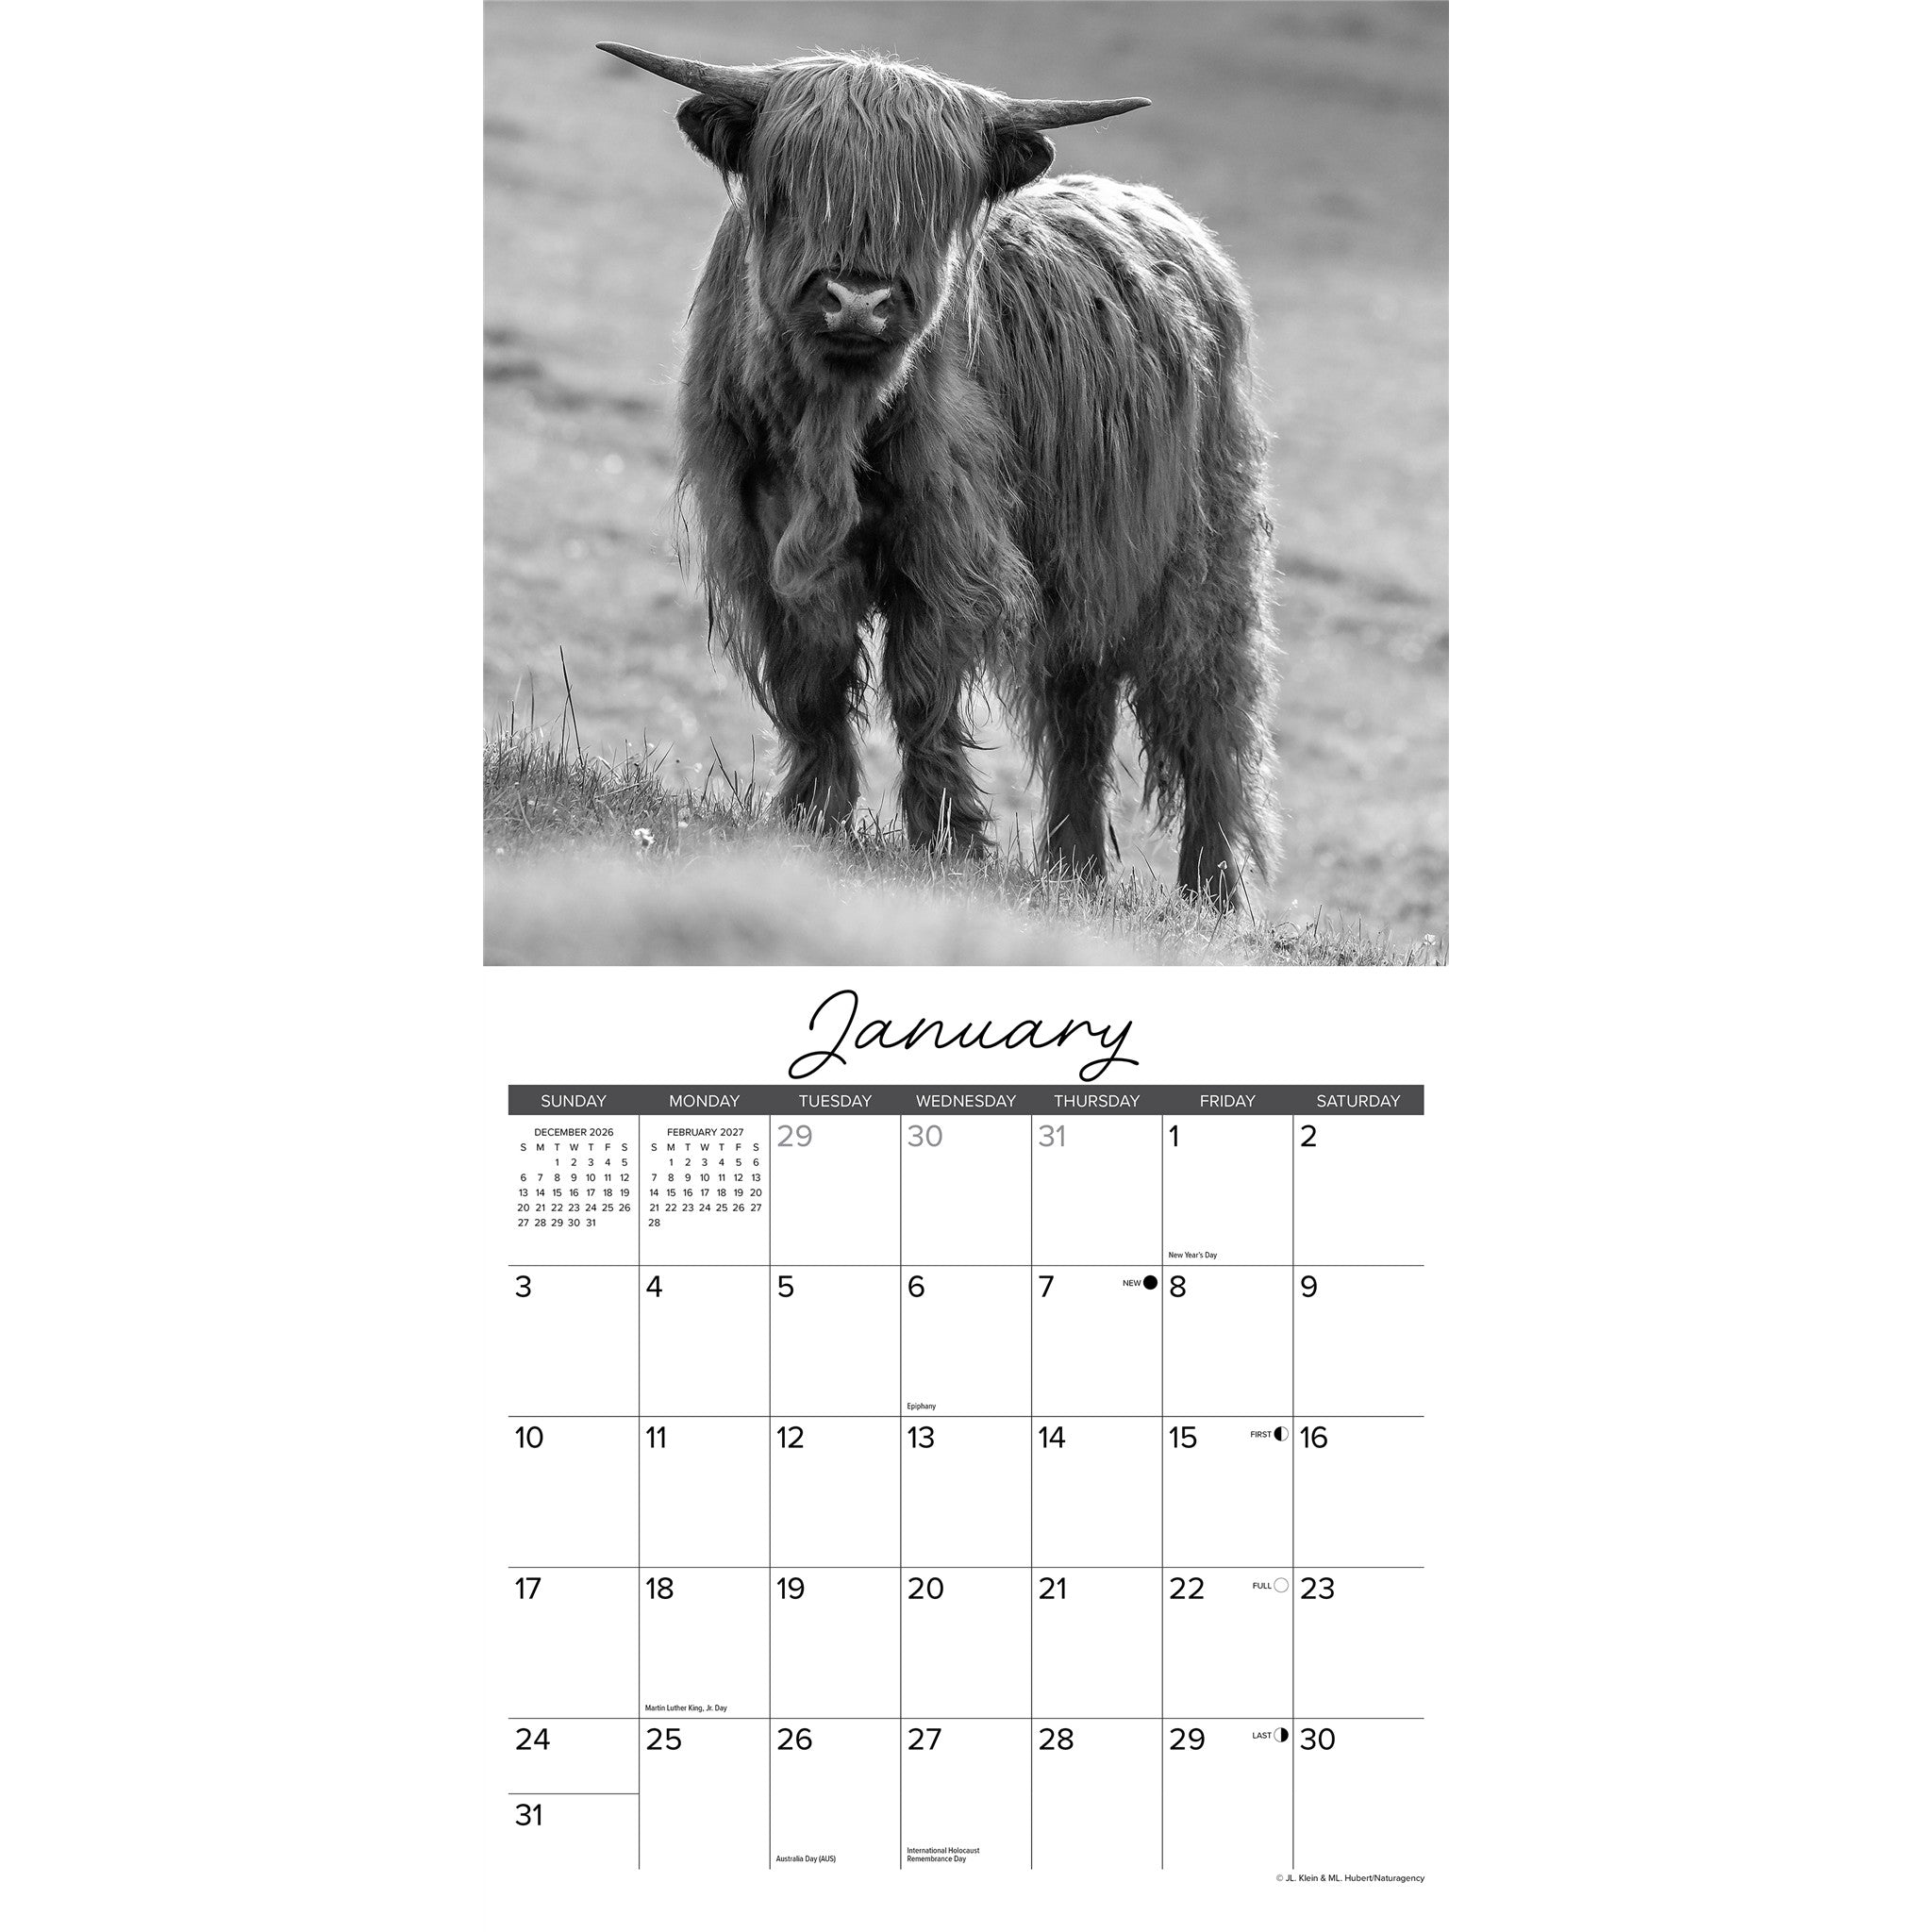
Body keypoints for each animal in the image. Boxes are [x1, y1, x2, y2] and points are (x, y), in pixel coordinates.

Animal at [600, 41, 1278, 904]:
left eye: (929, 199)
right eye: (792, 182)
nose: (858, 299)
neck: (831, 427)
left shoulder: (946, 540)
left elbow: (921, 685)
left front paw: (946, 839)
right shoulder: (758, 536)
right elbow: (810, 677)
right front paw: (811, 816)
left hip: (1200, 557)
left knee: (1208, 711)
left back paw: (1210, 894)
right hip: (1086, 570)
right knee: (1080, 709)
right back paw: (1074, 869)